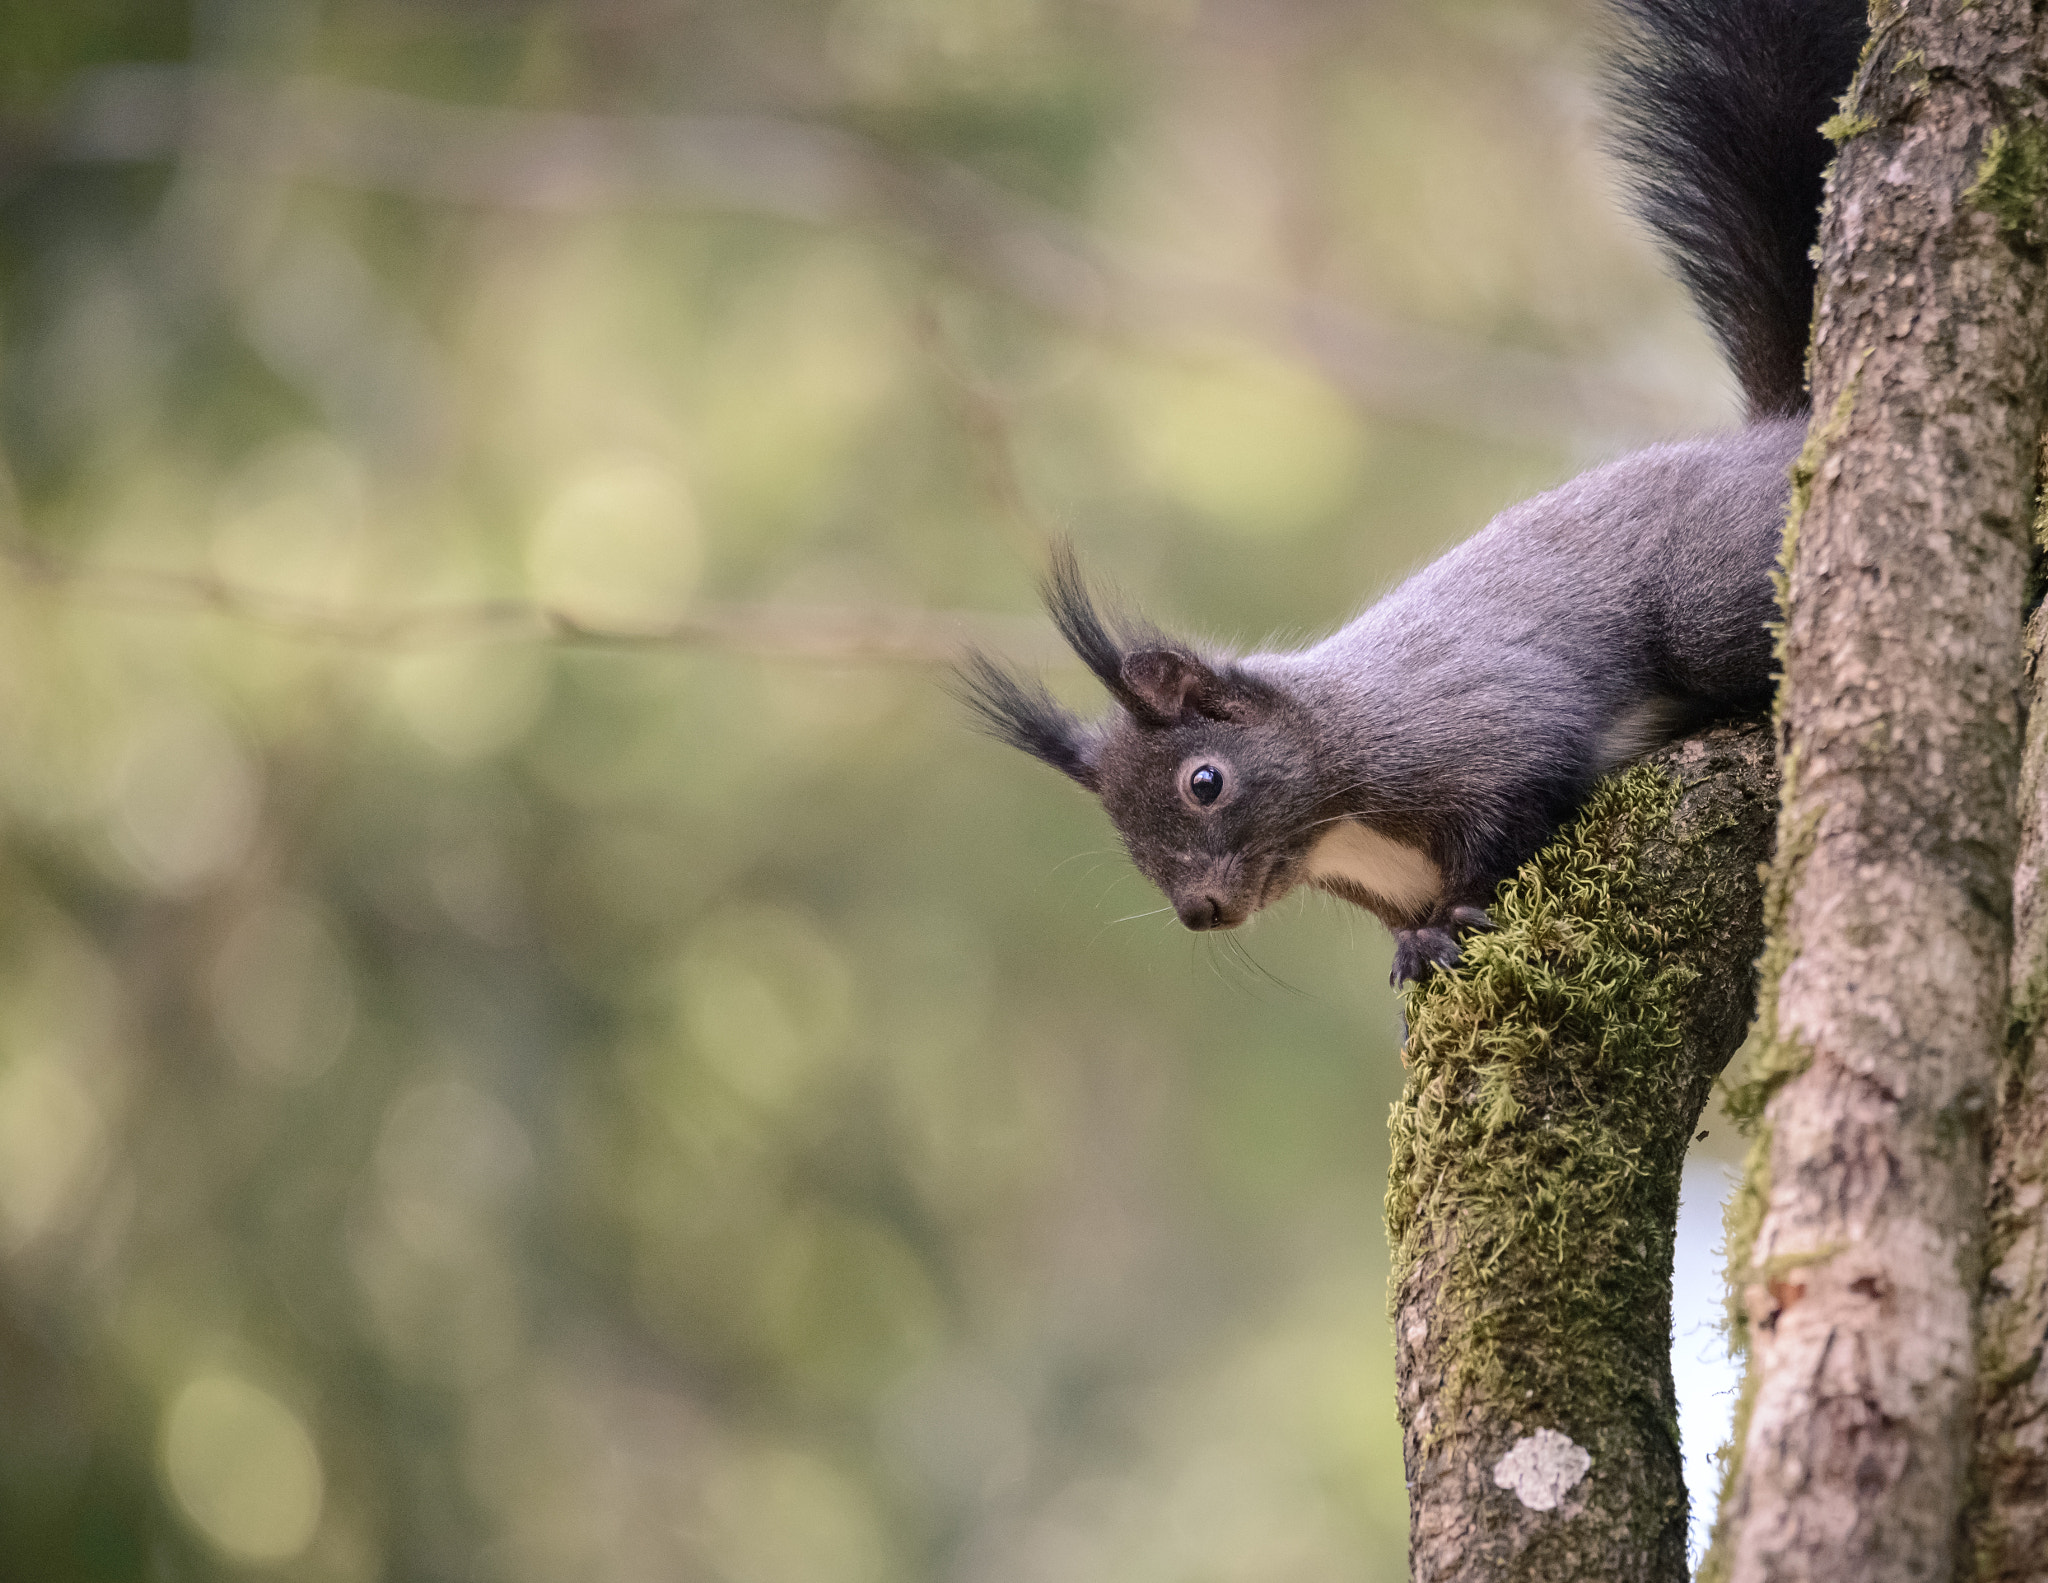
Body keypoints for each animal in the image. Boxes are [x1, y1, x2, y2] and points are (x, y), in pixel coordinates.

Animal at [961, 0, 1868, 985]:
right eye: (1123, 833)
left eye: (1205, 781)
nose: (1201, 911)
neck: (1339, 784)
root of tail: (1785, 430)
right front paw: (1418, 944)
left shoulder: (1482, 731)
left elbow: (1514, 800)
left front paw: (1459, 911)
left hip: (1713, 603)